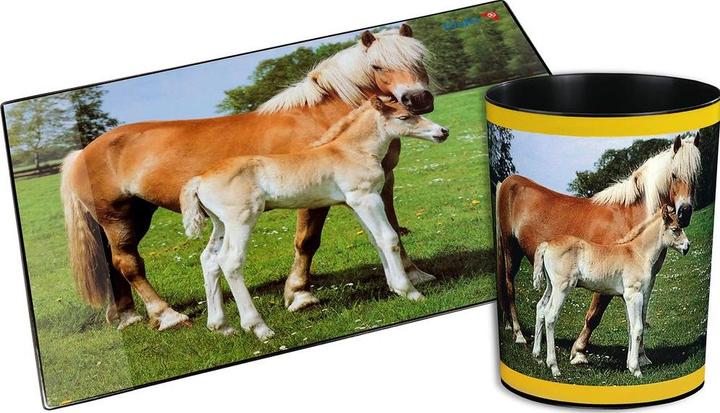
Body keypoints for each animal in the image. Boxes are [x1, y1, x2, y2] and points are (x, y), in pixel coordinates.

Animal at [179, 97, 449, 338]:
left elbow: (375, 240)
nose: (443, 131)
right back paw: (259, 328)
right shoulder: (366, 198)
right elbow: (388, 238)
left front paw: (394, 287)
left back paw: (221, 326)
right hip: (241, 220)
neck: (351, 151)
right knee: (230, 261)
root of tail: (199, 179)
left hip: (220, 223)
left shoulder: (354, 204)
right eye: (404, 117)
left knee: (209, 260)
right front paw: (410, 292)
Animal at [531, 205, 689, 378]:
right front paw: (636, 369)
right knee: (550, 316)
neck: (637, 253)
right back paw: (554, 367)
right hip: (562, 287)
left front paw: (629, 365)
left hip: (551, 286)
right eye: (675, 229)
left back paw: (537, 357)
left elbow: (630, 328)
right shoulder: (635, 295)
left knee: (540, 308)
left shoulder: (626, 298)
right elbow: (638, 328)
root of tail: (547, 244)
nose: (687, 247)